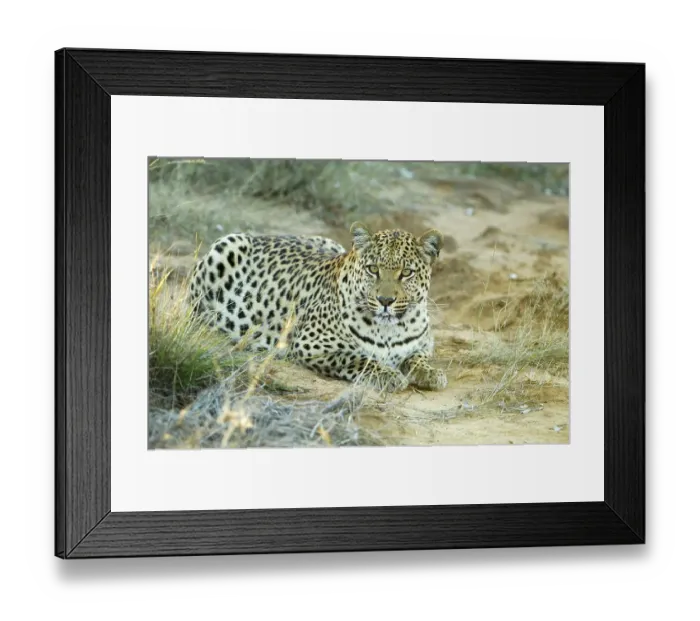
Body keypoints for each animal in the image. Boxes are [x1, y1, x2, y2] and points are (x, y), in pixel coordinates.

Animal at [187, 221, 447, 393]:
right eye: (373, 269)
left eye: (407, 273)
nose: (385, 301)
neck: (390, 330)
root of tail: (263, 235)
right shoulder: (310, 345)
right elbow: (357, 357)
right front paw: (389, 375)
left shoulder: (424, 345)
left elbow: (417, 358)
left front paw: (431, 373)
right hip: (226, 246)